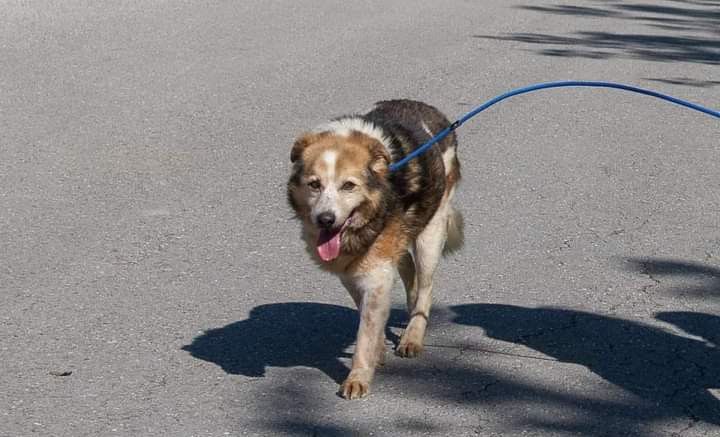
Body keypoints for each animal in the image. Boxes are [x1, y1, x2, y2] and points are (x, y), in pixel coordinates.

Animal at [284, 99, 464, 398]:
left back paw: (413, 336)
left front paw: (358, 377)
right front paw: (377, 351)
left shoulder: (376, 275)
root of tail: (425, 107)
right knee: (408, 268)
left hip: (431, 231)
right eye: (314, 184)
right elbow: (368, 318)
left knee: (425, 287)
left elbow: (365, 332)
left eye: (348, 185)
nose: (325, 219)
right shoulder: (353, 271)